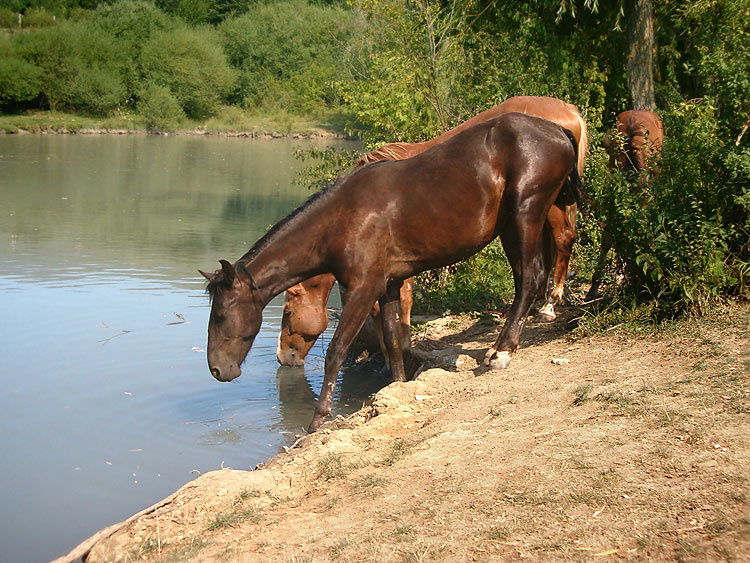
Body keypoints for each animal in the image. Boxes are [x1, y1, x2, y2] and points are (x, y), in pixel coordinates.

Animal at [276, 96, 590, 367]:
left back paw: (548, 307)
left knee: (562, 242)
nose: (282, 357)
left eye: (288, 312)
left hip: (539, 209)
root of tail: (567, 114)